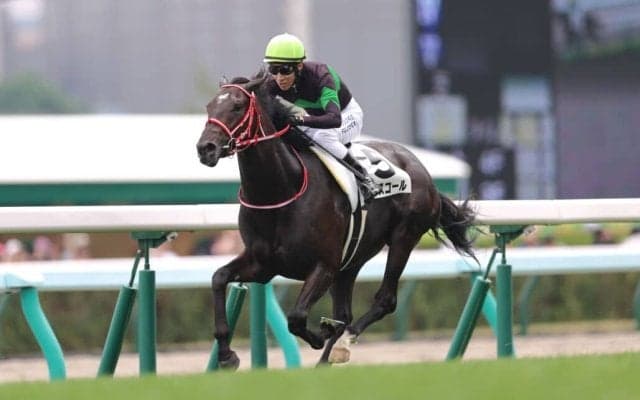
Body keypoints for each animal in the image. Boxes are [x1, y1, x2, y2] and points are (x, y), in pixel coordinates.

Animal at [196, 72, 476, 369]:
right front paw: (227, 355)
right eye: (209, 106)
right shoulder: (263, 264)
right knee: (346, 312)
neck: (282, 191)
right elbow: (219, 277)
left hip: (403, 237)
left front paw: (322, 334)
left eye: (237, 106)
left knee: (383, 301)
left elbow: (297, 318)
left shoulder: (324, 265)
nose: (206, 148)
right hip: (351, 260)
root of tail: (423, 171)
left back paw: (342, 344)